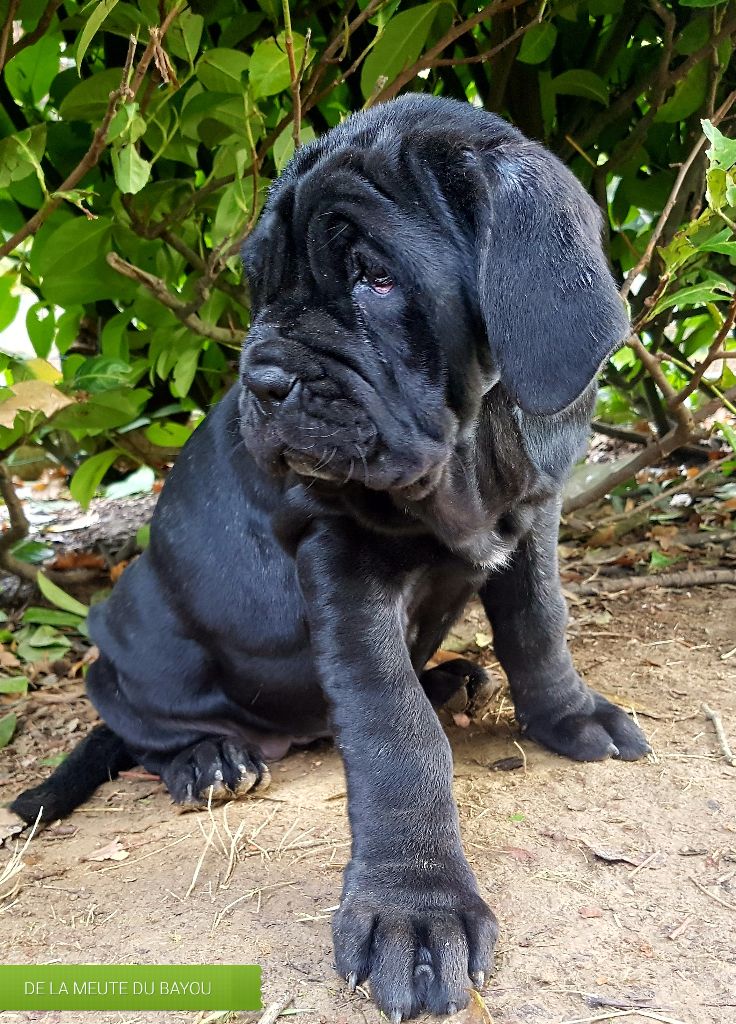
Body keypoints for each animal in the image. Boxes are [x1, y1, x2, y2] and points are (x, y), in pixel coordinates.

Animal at [12, 95, 650, 1020]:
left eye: (375, 280)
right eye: (258, 287)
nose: (263, 380)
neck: (469, 450)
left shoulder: (533, 515)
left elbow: (539, 627)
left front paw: (569, 717)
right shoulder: (342, 565)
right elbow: (393, 730)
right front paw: (415, 908)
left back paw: (450, 679)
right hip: (125, 629)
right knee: (132, 721)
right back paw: (208, 759)